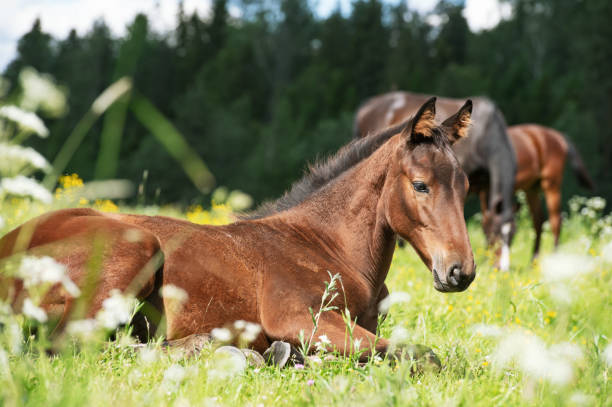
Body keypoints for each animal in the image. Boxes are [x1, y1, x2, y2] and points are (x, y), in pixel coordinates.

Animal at [0, 98, 476, 364]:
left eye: (467, 187)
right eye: (421, 185)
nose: (461, 272)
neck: (328, 246)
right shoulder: (297, 317)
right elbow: (420, 354)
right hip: (133, 250)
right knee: (73, 346)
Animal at [502, 124, 592, 258]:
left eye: (514, 232)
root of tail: (559, 136)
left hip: (551, 185)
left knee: (555, 221)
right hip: (532, 189)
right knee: (538, 220)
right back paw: (534, 259)